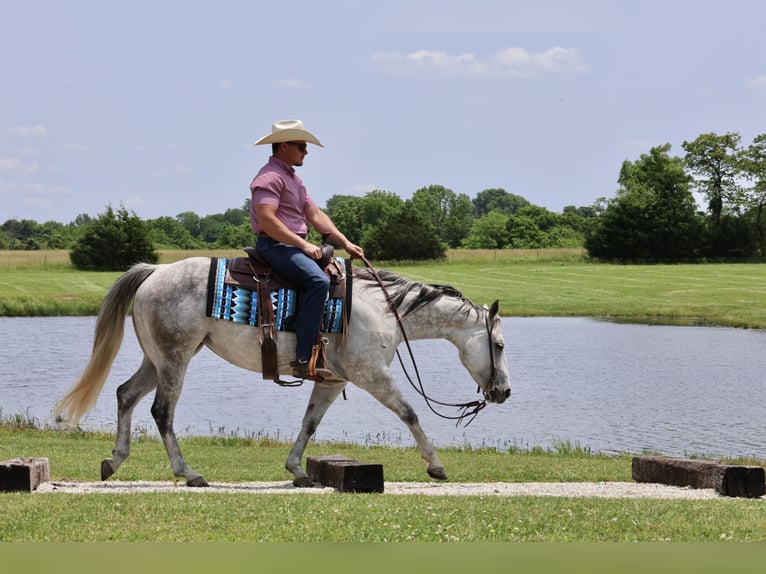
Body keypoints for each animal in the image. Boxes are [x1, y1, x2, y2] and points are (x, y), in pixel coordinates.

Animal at [54, 256, 511, 487]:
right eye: (500, 346)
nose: (504, 392)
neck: (381, 311)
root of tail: (155, 272)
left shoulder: (334, 381)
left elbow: (309, 423)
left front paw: (297, 470)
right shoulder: (372, 375)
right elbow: (410, 413)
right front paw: (436, 466)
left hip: (157, 360)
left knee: (126, 395)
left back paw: (114, 462)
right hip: (174, 360)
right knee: (161, 412)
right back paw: (189, 473)